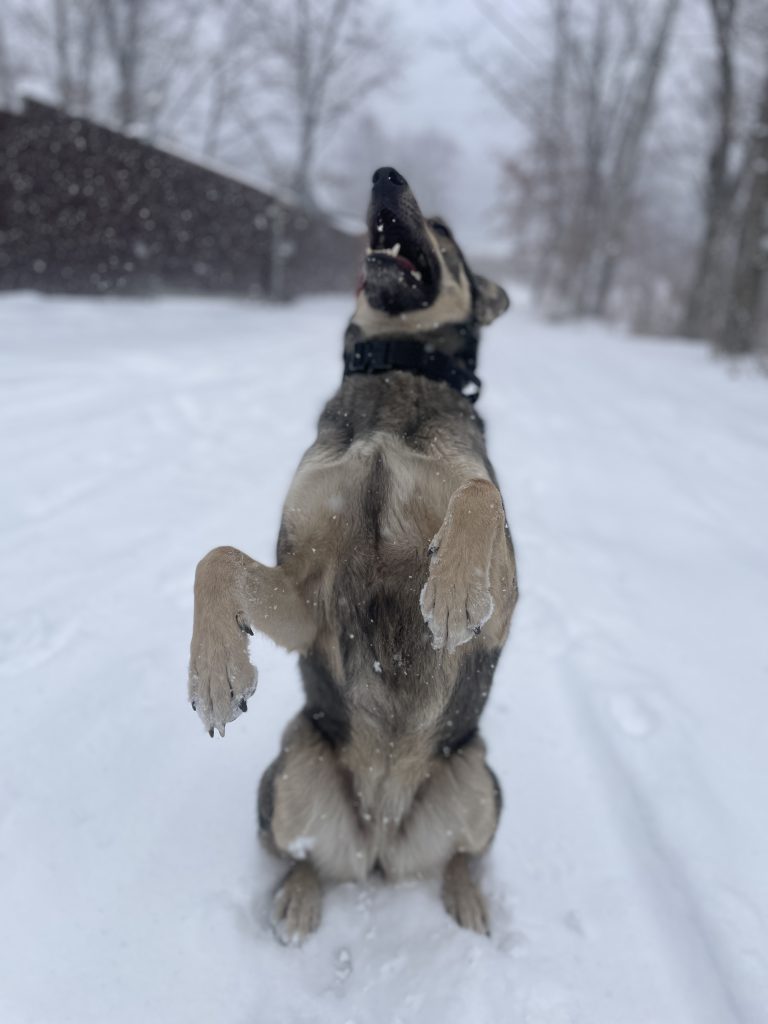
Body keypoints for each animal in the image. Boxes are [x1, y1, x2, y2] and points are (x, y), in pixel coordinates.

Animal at [188, 167, 517, 943]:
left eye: (445, 232)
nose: (384, 176)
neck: (394, 369)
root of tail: (382, 841)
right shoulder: (309, 598)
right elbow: (215, 557)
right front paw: (215, 672)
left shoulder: (504, 607)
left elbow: (480, 492)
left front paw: (453, 588)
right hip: (290, 764)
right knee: (304, 855)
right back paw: (299, 901)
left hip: (481, 776)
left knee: (460, 857)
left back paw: (467, 900)